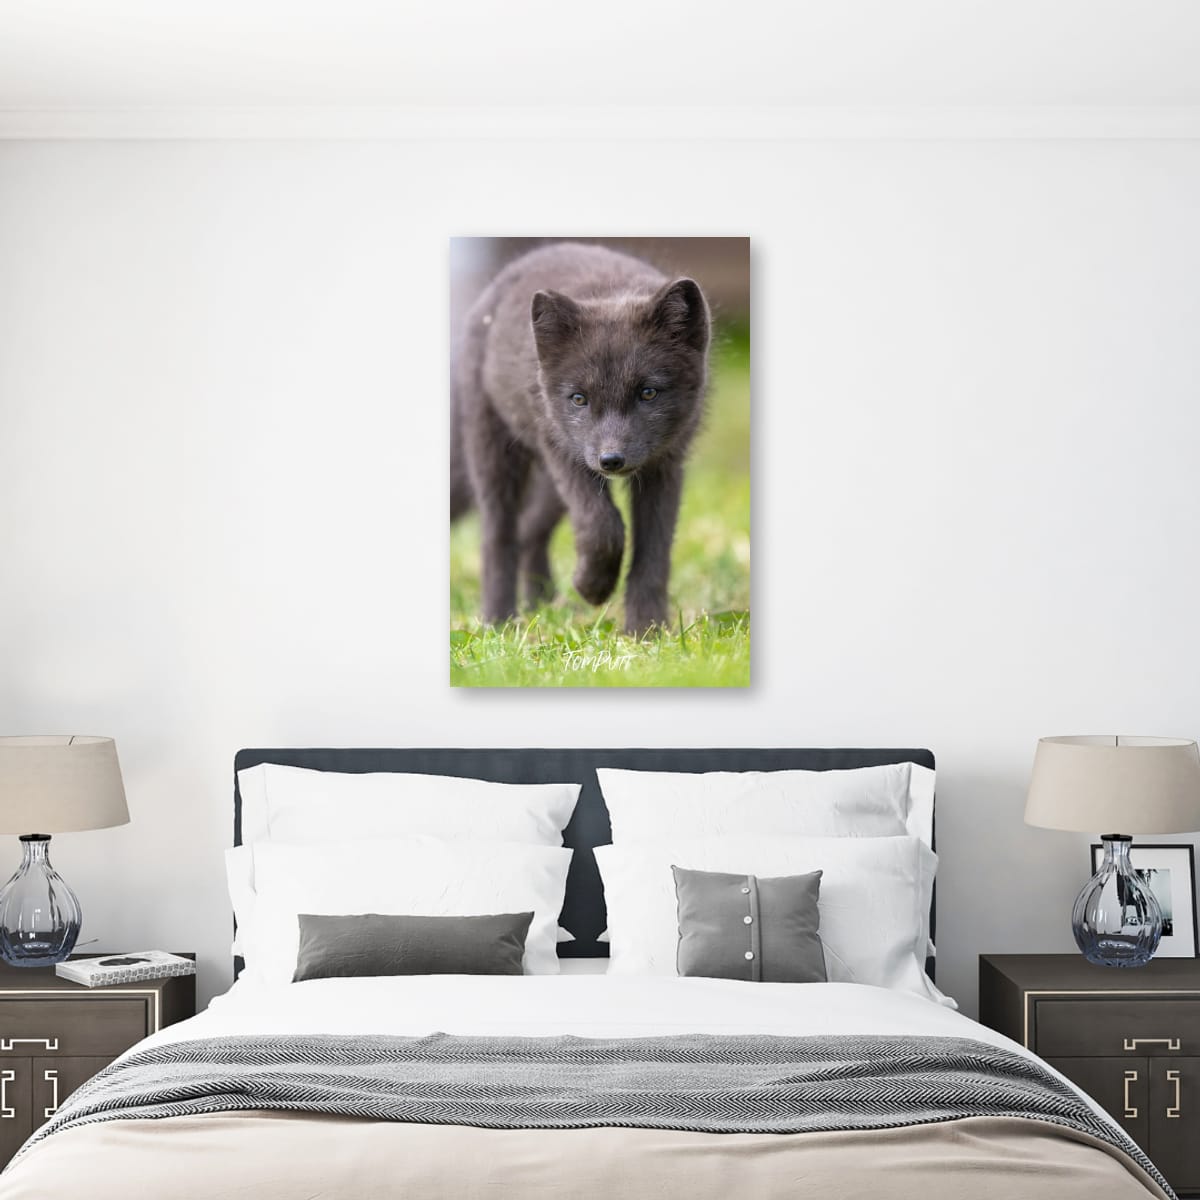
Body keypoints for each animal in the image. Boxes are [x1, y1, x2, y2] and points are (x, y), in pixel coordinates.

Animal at [451, 242, 710, 635]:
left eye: (648, 393)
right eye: (578, 399)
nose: (611, 460)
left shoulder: (665, 464)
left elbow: (653, 552)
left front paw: (645, 631)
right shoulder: (562, 452)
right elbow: (602, 526)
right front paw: (592, 588)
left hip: (551, 488)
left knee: (529, 532)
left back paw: (540, 604)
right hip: (494, 453)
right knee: (498, 535)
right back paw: (500, 621)